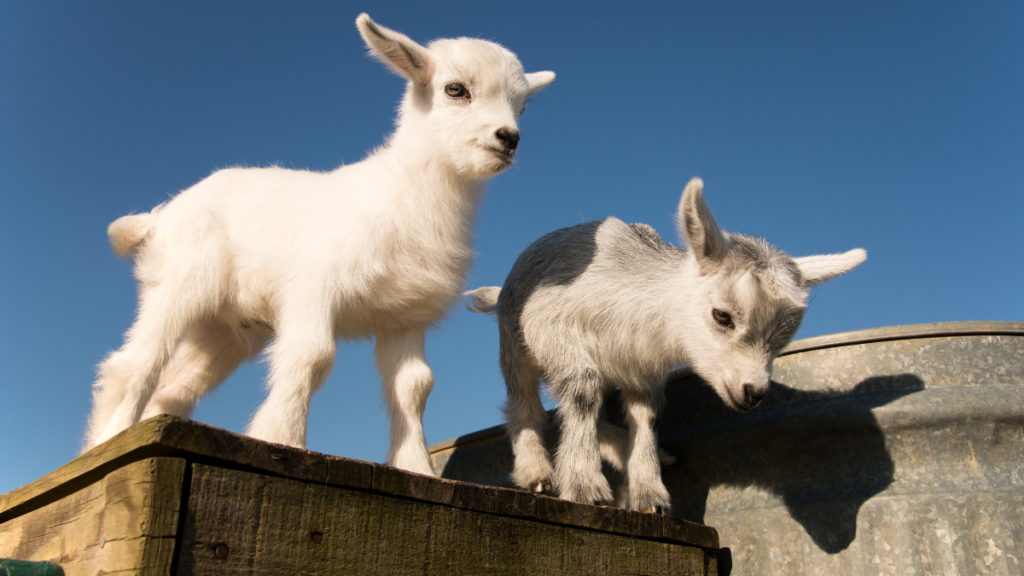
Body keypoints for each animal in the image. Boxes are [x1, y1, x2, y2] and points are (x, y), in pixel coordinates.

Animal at [468, 177, 868, 508]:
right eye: (722, 316)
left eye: (784, 337)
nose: (753, 392)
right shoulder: (550, 324)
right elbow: (582, 390)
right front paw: (585, 486)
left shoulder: (642, 369)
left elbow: (643, 415)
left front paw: (648, 493)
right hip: (514, 344)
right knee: (525, 402)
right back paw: (537, 473)